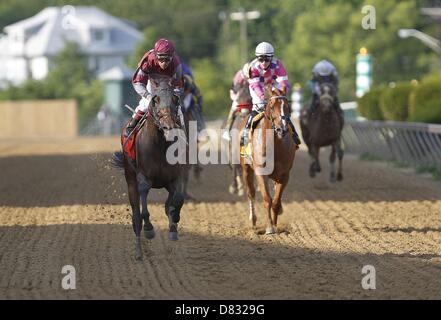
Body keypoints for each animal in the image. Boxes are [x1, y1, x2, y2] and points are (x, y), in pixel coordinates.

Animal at [111, 77, 186, 260]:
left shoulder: (175, 177)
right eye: (155, 101)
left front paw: (174, 225)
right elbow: (144, 210)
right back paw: (139, 252)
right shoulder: (143, 179)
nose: (169, 127)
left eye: (175, 100)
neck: (160, 146)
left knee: (169, 204)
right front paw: (150, 229)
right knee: (136, 218)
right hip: (130, 179)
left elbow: (178, 200)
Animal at [237, 90, 296, 235]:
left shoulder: (284, 175)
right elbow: (267, 199)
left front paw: (274, 225)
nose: (282, 129)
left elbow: (276, 201)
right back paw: (253, 220)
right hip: (246, 169)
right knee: (251, 192)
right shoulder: (260, 173)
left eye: (287, 106)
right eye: (272, 106)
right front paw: (269, 227)